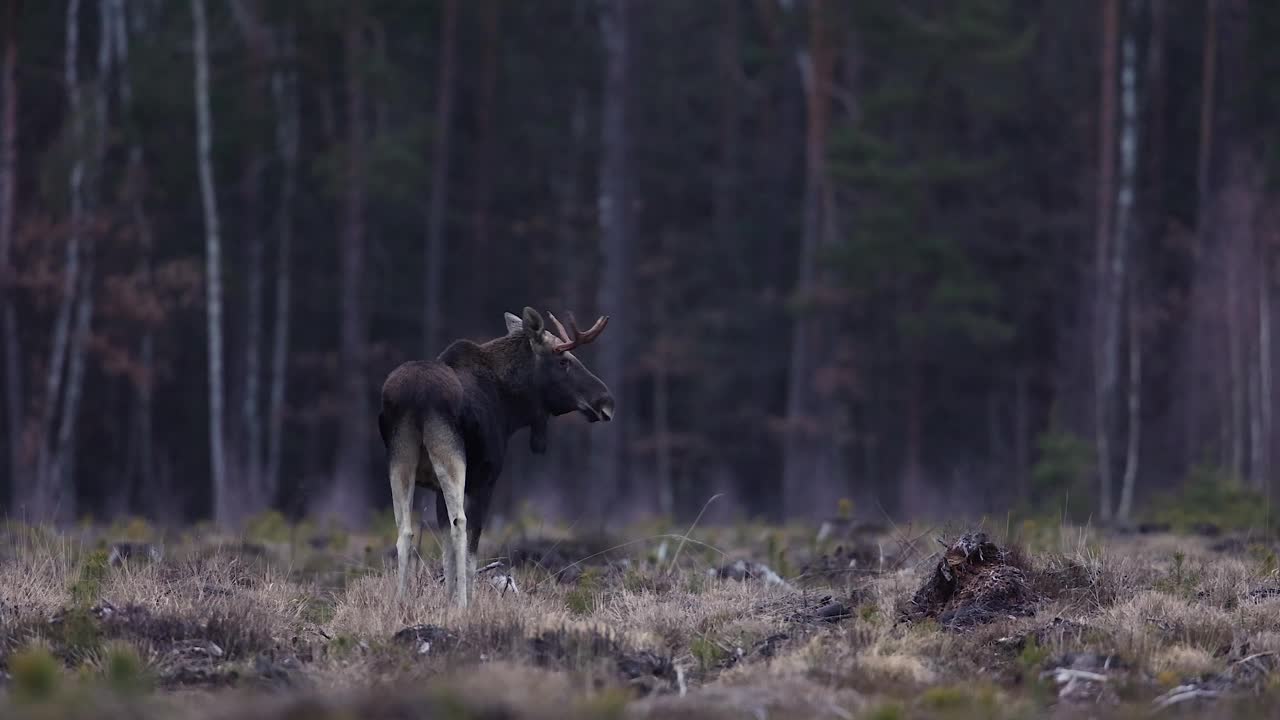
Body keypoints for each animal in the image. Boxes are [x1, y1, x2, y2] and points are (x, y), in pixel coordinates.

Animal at [376, 304, 611, 602]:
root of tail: (415, 396)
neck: (510, 408)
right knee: (460, 524)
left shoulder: (436, 490)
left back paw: (400, 601)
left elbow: (445, 550)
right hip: (452, 457)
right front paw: (462, 602)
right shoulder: (486, 478)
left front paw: (447, 600)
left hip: (399, 460)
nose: (605, 400)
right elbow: (470, 548)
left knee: (404, 531)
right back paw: (462, 604)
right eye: (563, 361)